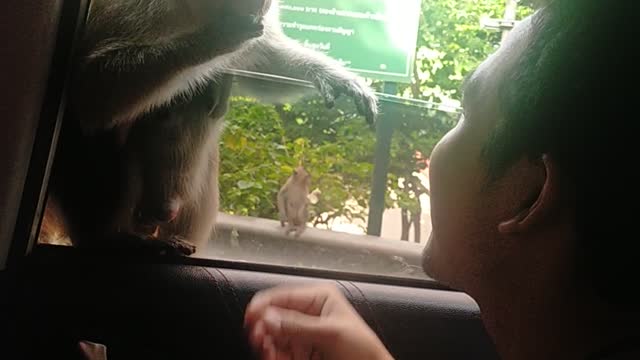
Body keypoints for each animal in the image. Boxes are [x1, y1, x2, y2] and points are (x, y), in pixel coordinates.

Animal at [40, 0, 378, 256]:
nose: (259, 7)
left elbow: (262, 63)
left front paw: (334, 77)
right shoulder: (141, 9)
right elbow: (91, 86)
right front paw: (215, 38)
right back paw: (109, 239)